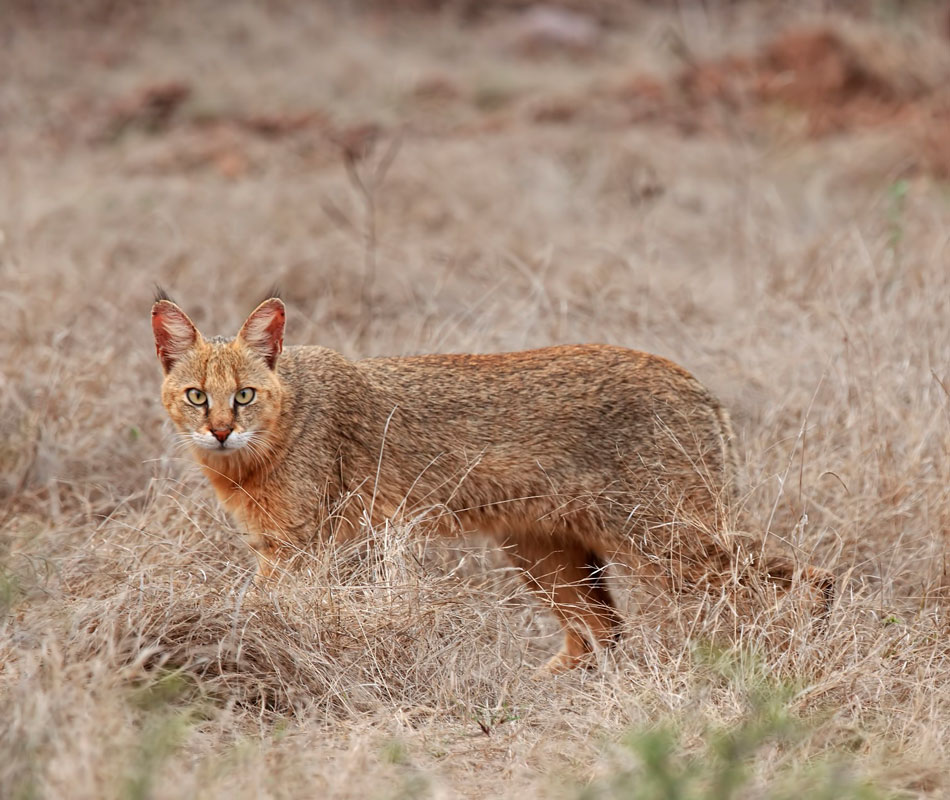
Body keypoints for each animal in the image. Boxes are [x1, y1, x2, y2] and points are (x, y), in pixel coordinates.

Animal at [151, 290, 832, 672]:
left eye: (244, 395)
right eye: (196, 396)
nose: (218, 430)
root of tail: (692, 380)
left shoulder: (296, 548)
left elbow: (254, 610)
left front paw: (231, 647)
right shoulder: (284, 550)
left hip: (667, 543)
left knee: (802, 578)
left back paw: (790, 654)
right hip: (544, 552)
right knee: (604, 631)